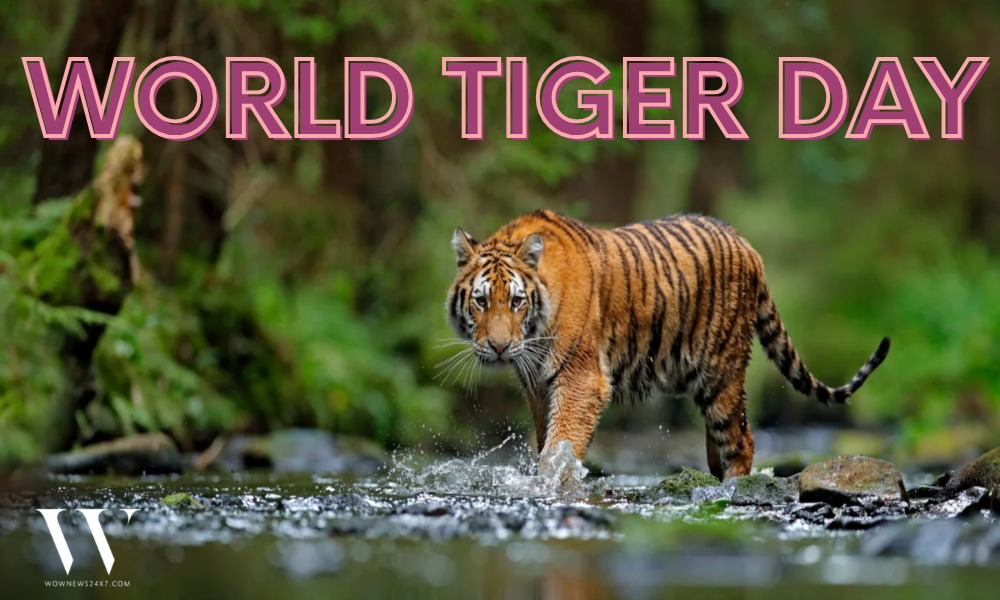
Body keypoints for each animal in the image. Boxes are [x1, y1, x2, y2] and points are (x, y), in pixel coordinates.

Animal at [445, 209, 890, 481]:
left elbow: (561, 443)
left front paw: (552, 483)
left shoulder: (581, 379)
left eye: (516, 301)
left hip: (721, 372)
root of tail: (748, 246)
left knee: (742, 440)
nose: (499, 347)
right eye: (481, 300)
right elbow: (546, 440)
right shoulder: (538, 385)